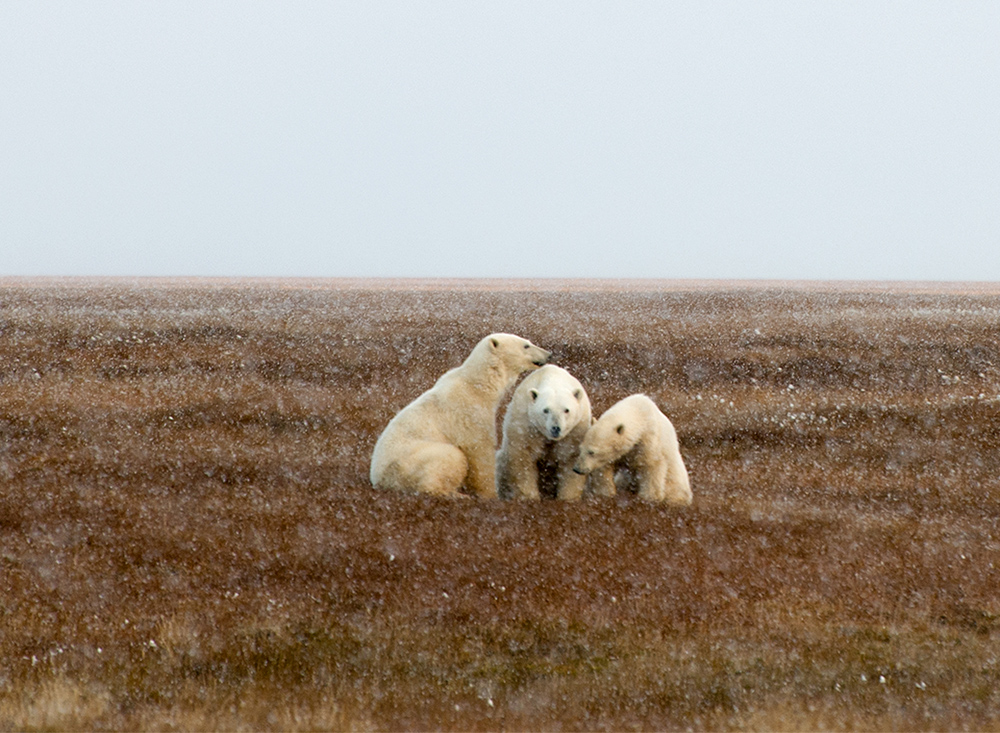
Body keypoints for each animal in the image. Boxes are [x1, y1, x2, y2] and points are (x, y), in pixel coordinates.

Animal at [370, 334, 552, 498]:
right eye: (526, 345)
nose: (548, 354)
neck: (478, 385)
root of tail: (378, 479)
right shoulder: (470, 412)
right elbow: (479, 450)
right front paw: (490, 494)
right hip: (408, 462)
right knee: (450, 457)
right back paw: (452, 493)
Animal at [496, 364, 612, 500]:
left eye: (566, 410)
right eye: (546, 410)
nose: (556, 428)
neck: (551, 377)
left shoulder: (576, 429)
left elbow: (570, 458)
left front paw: (567, 497)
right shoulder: (525, 422)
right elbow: (523, 457)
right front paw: (530, 497)